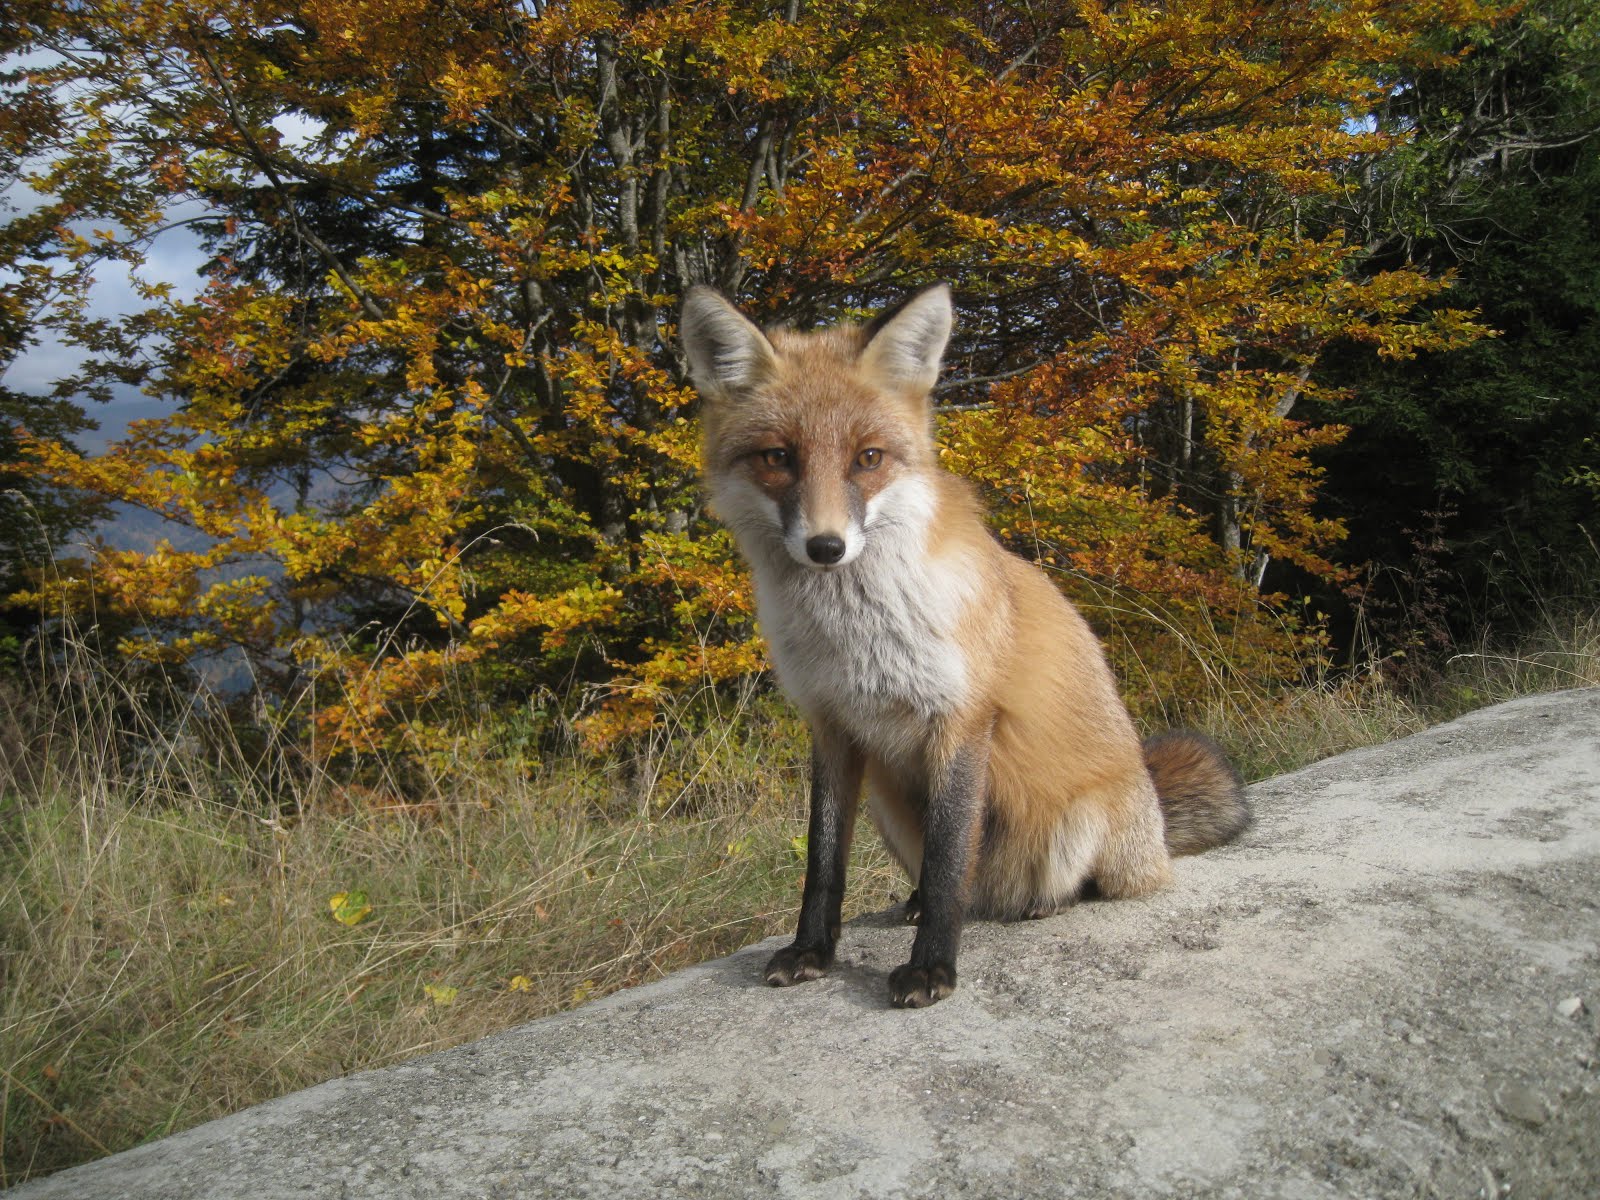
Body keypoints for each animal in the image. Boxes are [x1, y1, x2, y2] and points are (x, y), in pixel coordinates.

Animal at [678, 281, 1248, 1004]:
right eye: (779, 458)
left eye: (868, 458)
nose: (827, 547)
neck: (855, 641)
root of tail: (1154, 817)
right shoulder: (832, 725)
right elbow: (823, 860)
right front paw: (812, 951)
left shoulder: (963, 718)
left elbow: (951, 861)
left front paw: (932, 968)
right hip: (891, 805)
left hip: (1080, 824)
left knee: (1069, 884)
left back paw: (1043, 902)